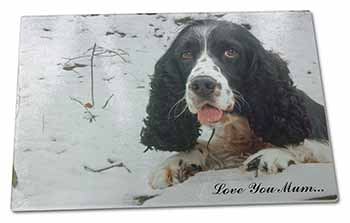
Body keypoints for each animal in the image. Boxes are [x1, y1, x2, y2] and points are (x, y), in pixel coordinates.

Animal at [139, 20, 330, 189]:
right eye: (185, 55)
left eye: (231, 52)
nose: (202, 84)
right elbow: (206, 147)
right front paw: (174, 163)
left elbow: (310, 147)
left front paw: (272, 155)